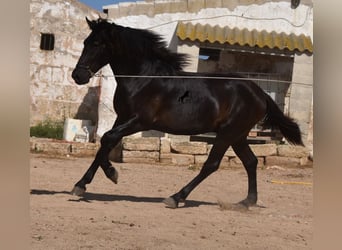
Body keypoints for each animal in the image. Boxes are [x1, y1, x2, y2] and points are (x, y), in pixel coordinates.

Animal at [71, 18, 302, 209]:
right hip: (238, 136)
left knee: (212, 165)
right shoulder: (122, 118)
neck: (143, 78)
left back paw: (176, 197)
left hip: (228, 133)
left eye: (97, 44)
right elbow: (105, 143)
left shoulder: (140, 121)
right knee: (251, 162)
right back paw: (247, 202)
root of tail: (260, 93)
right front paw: (82, 184)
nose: (78, 76)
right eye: (85, 42)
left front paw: (111, 174)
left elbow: (108, 139)